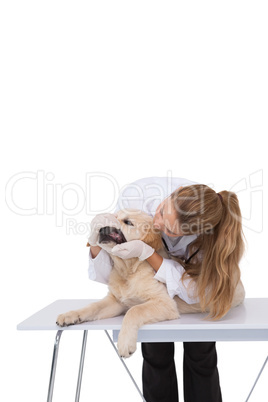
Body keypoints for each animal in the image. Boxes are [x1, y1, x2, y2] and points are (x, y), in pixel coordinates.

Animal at [56, 209, 245, 356]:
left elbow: (134, 311)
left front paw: (125, 343)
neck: (128, 269)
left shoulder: (165, 303)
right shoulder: (116, 301)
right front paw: (70, 315)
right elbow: (91, 307)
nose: (102, 227)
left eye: (127, 222)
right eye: (112, 216)